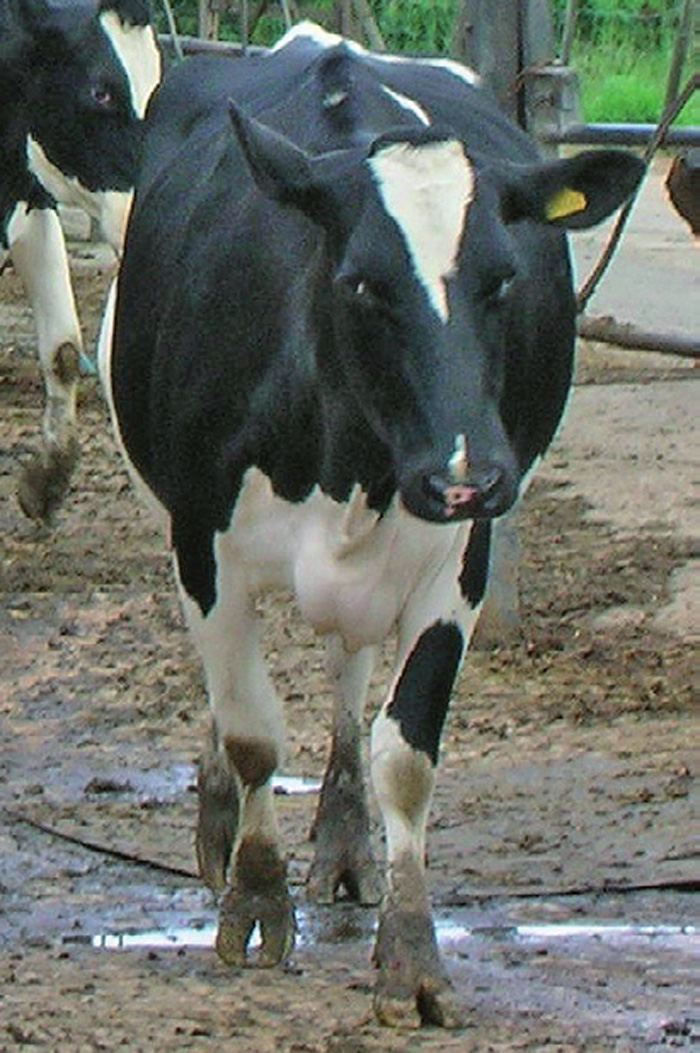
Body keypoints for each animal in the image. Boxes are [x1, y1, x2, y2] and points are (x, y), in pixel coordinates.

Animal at [99, 22, 644, 1027]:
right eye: (361, 285)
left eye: (504, 279)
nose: (471, 472)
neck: (349, 454)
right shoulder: (202, 538)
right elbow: (253, 729)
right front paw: (256, 896)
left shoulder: (456, 557)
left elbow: (407, 754)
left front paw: (412, 957)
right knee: (236, 697)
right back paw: (221, 819)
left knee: (347, 674)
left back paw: (346, 841)